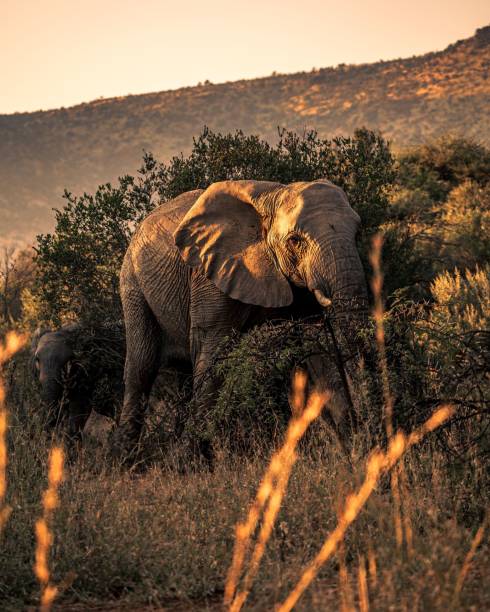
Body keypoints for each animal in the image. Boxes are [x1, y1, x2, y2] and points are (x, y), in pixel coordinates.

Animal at [115, 177, 368, 454]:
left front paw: (351, 448)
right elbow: (213, 353)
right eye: (295, 241)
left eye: (357, 234)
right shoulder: (210, 277)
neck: (273, 196)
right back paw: (126, 458)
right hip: (132, 283)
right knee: (142, 367)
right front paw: (193, 458)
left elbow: (316, 350)